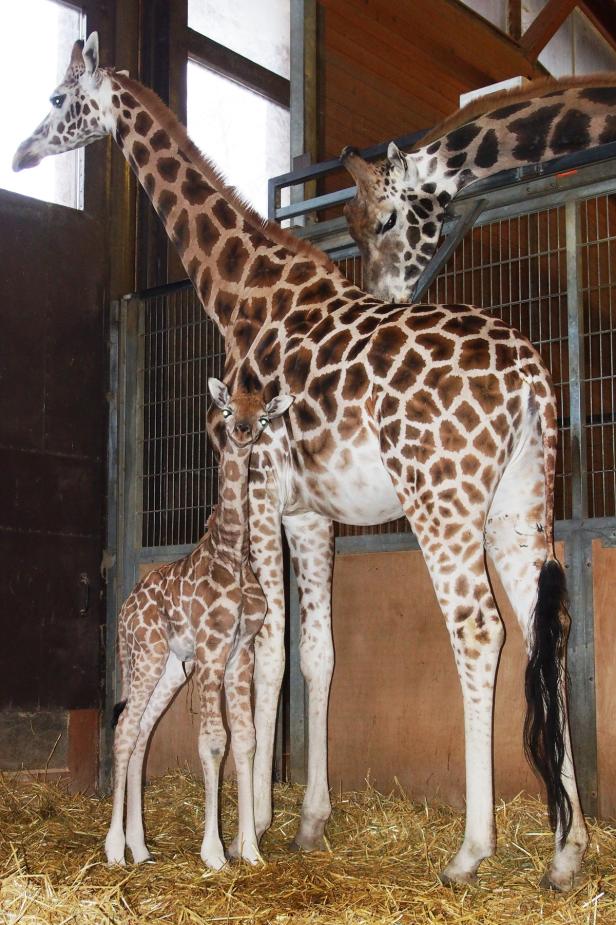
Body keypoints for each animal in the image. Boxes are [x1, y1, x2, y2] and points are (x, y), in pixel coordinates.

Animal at [104, 376, 294, 868]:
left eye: (262, 416)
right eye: (226, 411)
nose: (243, 431)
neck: (232, 551)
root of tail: (123, 612)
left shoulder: (240, 652)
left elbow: (245, 740)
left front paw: (250, 851)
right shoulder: (212, 649)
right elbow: (212, 741)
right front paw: (213, 853)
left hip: (172, 667)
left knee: (142, 734)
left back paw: (140, 847)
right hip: (147, 655)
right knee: (124, 729)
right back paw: (114, 849)